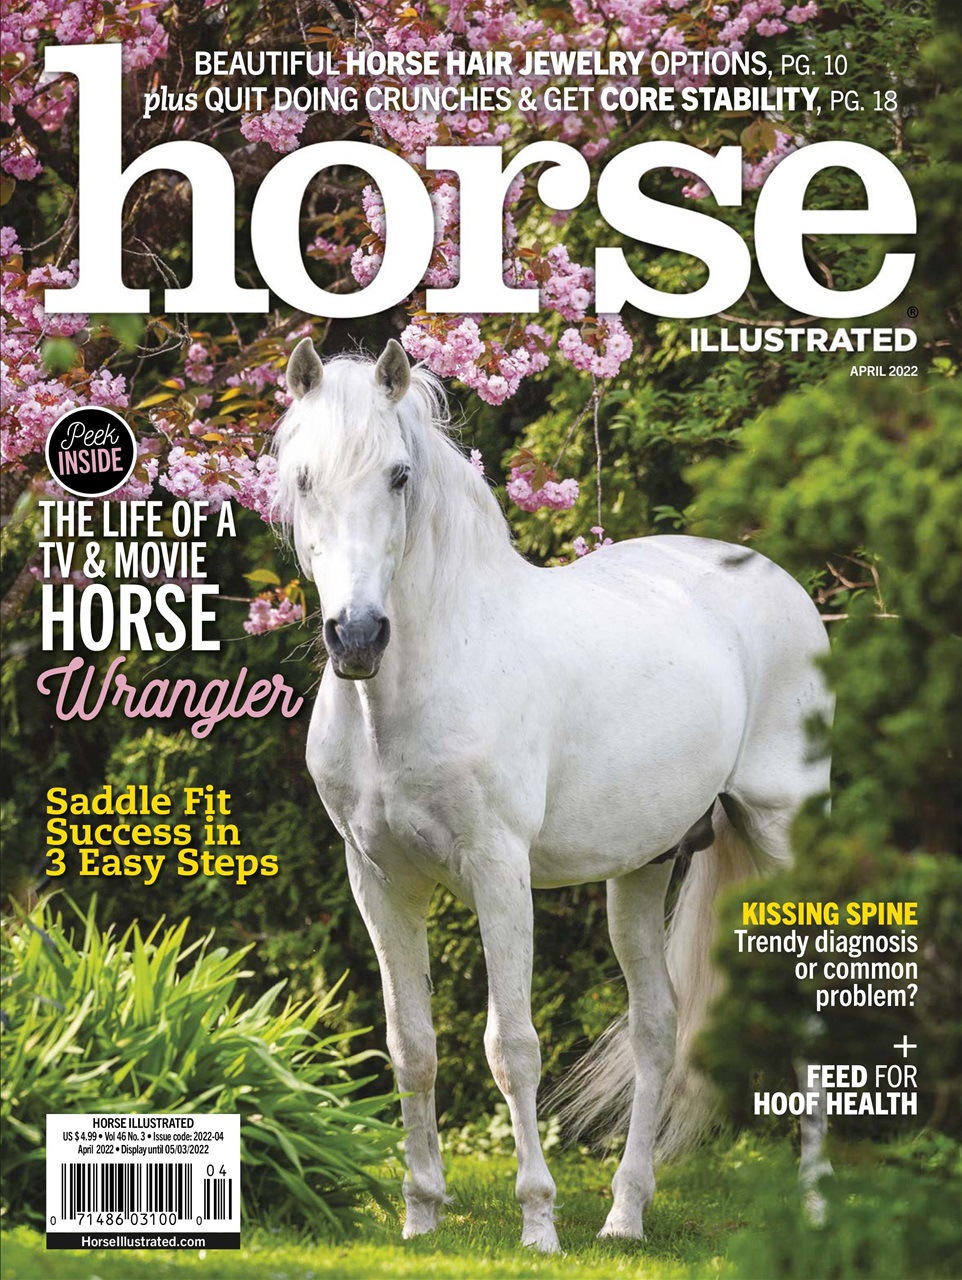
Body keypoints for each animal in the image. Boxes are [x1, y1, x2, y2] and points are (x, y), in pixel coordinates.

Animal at [274, 337, 833, 1252]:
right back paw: (624, 1217)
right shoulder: (379, 881)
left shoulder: (499, 873)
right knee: (656, 1028)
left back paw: (818, 1209)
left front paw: (537, 1222)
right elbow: (412, 1047)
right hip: (644, 867)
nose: (356, 636)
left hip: (787, 838)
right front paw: (420, 1216)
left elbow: (513, 1048)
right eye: (301, 477)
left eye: (398, 474)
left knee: (812, 1012)